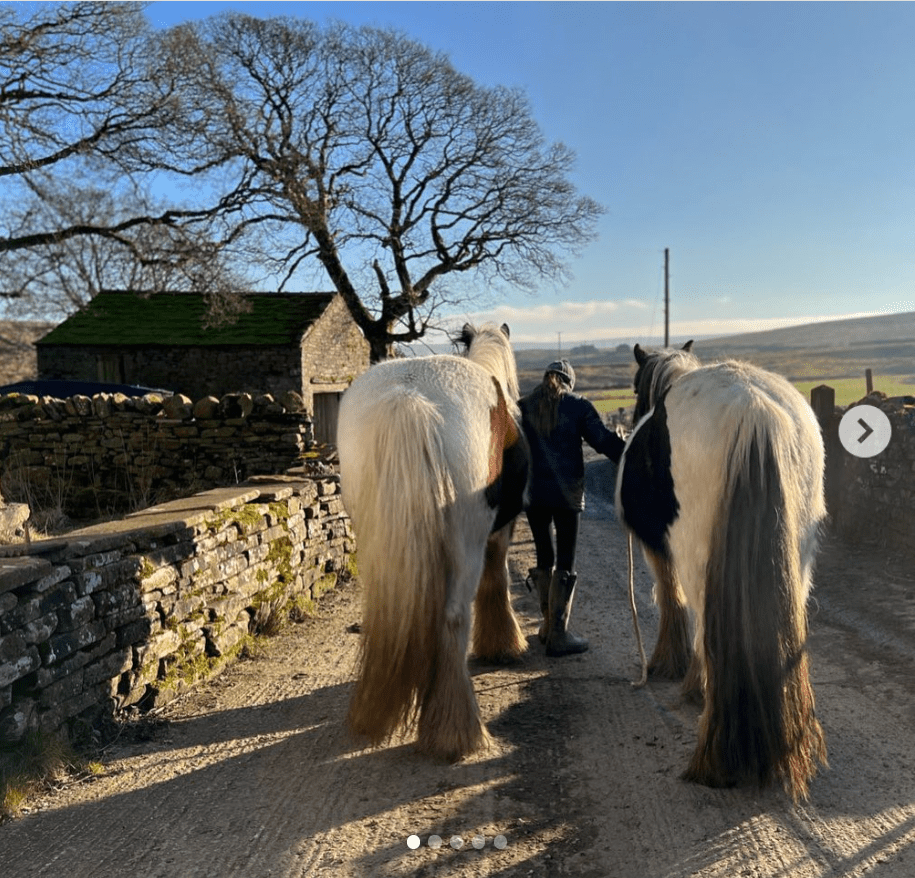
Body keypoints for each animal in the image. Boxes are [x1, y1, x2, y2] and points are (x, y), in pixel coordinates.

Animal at [338, 324, 528, 764]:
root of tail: (409, 395)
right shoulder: (500, 531)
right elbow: (498, 580)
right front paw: (503, 644)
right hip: (467, 539)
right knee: (454, 616)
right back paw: (456, 732)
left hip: (375, 539)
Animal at [620, 344, 828, 804]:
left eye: (635, 385)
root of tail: (752, 408)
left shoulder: (658, 549)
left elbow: (669, 597)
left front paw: (671, 664)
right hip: (800, 556)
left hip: (697, 556)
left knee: (703, 626)